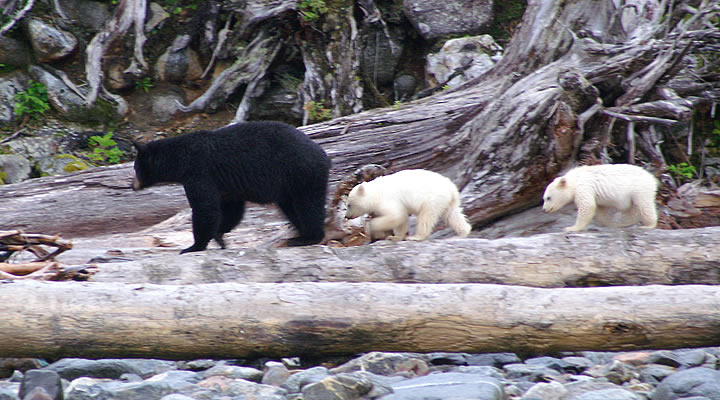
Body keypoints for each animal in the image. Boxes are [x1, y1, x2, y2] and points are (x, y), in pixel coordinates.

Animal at [131, 120, 330, 255]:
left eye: (135, 168)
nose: (132, 186)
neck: (179, 158)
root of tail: (323, 155)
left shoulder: (199, 172)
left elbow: (205, 208)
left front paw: (193, 247)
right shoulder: (226, 183)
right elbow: (231, 208)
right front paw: (219, 235)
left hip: (301, 174)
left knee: (308, 206)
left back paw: (307, 237)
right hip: (290, 184)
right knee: (292, 207)